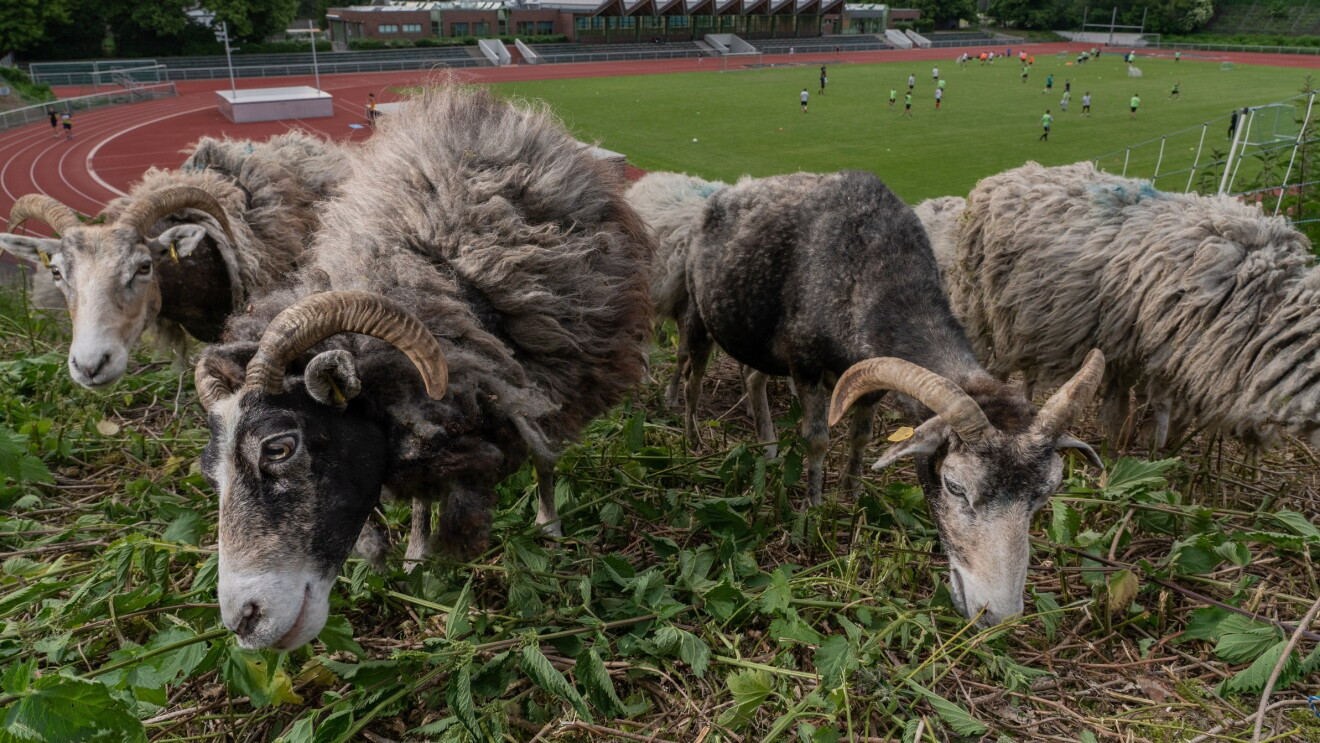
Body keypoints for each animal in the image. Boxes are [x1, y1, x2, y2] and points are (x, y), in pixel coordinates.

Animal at [192, 85, 653, 651]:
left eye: (279, 447)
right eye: (209, 475)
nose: (244, 621)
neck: (432, 276)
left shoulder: (537, 380)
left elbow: (540, 452)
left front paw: (549, 525)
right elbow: (418, 494)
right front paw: (416, 555)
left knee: (544, 448)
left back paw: (547, 521)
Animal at [678, 169, 1105, 627]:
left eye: (1045, 493)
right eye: (954, 486)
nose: (998, 616)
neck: (872, 267)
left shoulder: (870, 380)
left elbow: (861, 438)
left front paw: (851, 494)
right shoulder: (804, 363)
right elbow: (817, 440)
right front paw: (812, 509)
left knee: (752, 377)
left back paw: (769, 448)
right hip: (698, 313)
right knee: (693, 378)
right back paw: (692, 437)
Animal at [940, 160, 1320, 450]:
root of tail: (1006, 174)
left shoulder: (1177, 365)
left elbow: (1165, 419)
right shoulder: (1154, 354)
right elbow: (1141, 413)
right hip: (977, 305)